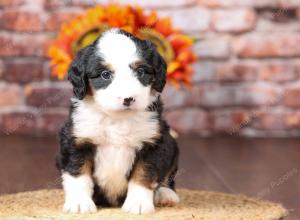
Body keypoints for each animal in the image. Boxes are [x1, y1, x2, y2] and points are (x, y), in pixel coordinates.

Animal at [56, 27, 178, 215]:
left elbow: (144, 174)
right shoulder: (77, 140)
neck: (117, 119)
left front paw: (138, 204)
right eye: (105, 75)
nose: (128, 99)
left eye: (140, 72)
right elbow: (78, 173)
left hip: (172, 145)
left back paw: (166, 195)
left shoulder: (153, 142)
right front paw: (80, 203)